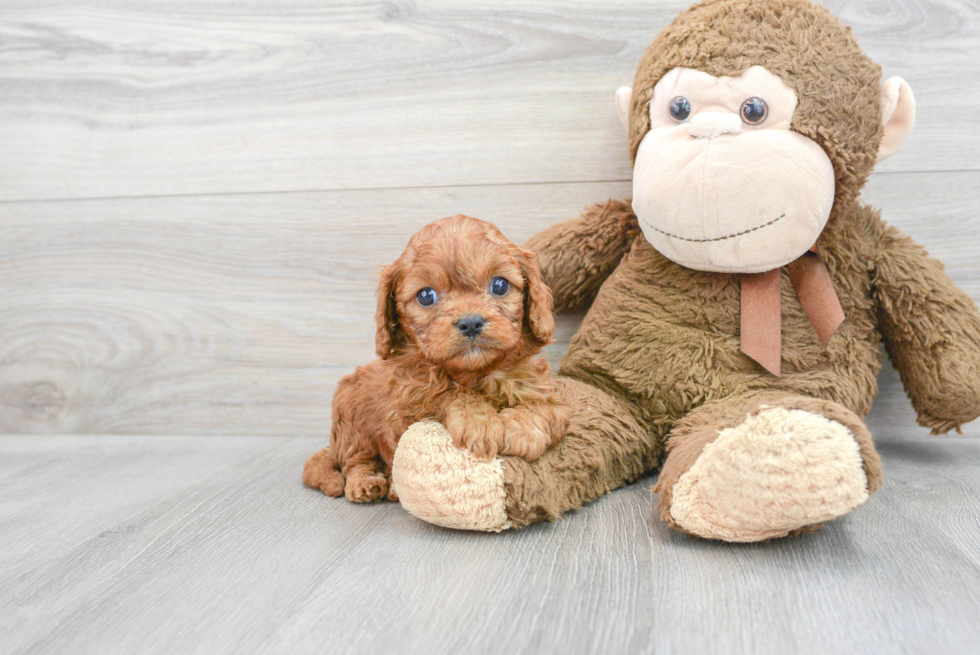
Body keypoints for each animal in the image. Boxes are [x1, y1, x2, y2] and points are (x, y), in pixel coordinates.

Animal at [304, 215, 568, 502]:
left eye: (500, 285)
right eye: (425, 295)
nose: (470, 323)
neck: (474, 373)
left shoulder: (546, 392)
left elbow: (547, 410)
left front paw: (519, 429)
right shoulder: (405, 407)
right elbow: (445, 394)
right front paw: (478, 420)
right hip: (350, 423)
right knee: (355, 461)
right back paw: (367, 484)